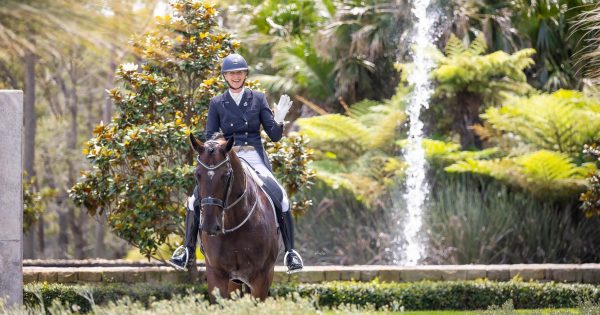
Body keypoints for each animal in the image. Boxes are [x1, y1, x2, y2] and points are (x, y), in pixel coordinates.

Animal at [189, 134, 280, 302]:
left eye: (226, 175)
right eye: (197, 174)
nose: (210, 226)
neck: (234, 222)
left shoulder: (262, 278)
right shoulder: (216, 275)